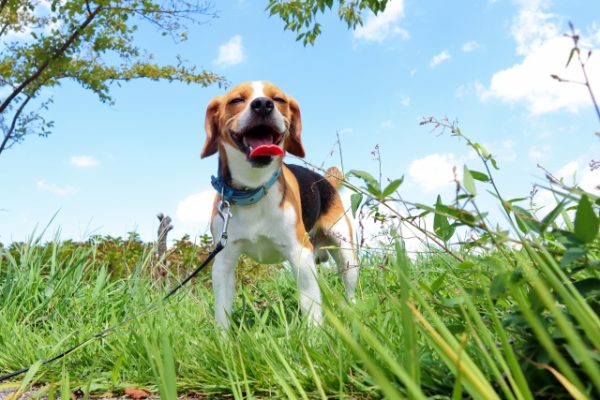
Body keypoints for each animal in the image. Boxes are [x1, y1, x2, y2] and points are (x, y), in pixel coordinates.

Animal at [202, 79, 360, 326]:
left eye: (278, 100)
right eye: (236, 100)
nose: (263, 105)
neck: (254, 189)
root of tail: (325, 181)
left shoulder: (300, 254)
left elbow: (310, 305)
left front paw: (314, 333)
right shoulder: (223, 263)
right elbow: (222, 313)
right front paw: (224, 337)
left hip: (345, 253)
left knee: (349, 285)